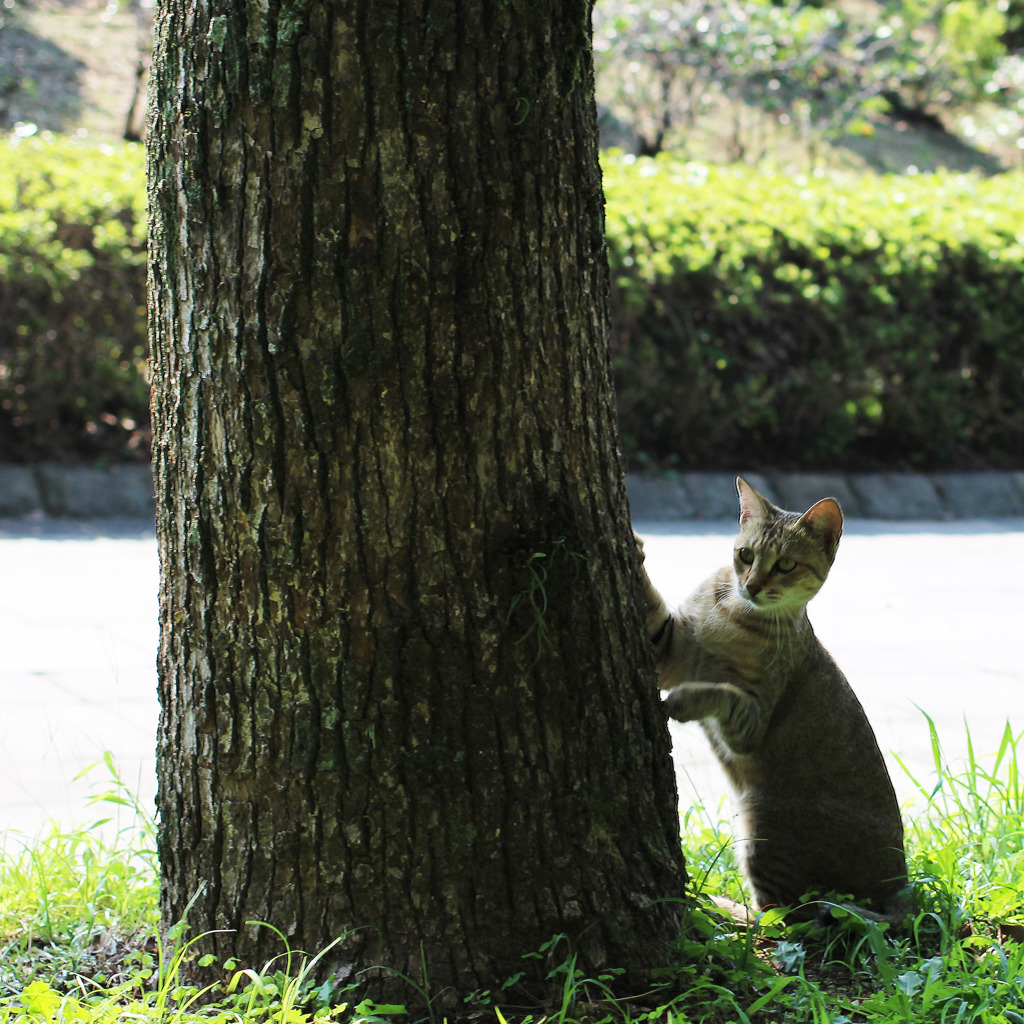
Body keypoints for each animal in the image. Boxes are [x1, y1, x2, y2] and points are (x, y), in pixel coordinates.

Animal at [634, 475, 909, 925]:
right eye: (745, 554)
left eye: (785, 565)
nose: (751, 586)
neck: (731, 615)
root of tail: (901, 885)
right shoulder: (669, 648)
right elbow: (653, 607)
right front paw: (636, 548)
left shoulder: (750, 722)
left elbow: (724, 693)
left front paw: (684, 701)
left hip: (762, 827)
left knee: (779, 916)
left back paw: (717, 906)